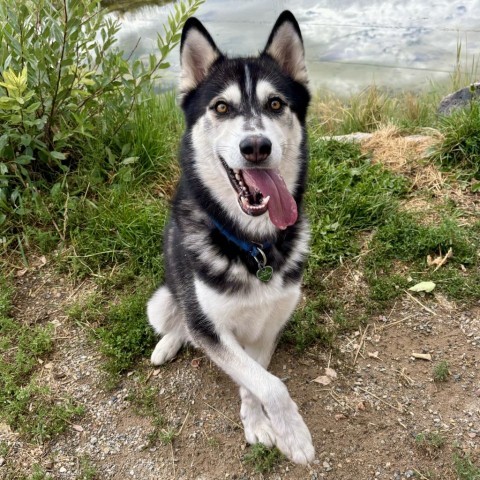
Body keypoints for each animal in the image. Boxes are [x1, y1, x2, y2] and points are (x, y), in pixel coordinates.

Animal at [150, 9, 316, 464]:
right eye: (221, 107)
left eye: (275, 104)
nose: (256, 146)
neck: (252, 245)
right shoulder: (212, 329)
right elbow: (270, 384)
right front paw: (294, 434)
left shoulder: (268, 327)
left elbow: (256, 378)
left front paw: (260, 423)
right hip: (163, 301)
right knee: (180, 324)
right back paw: (167, 345)